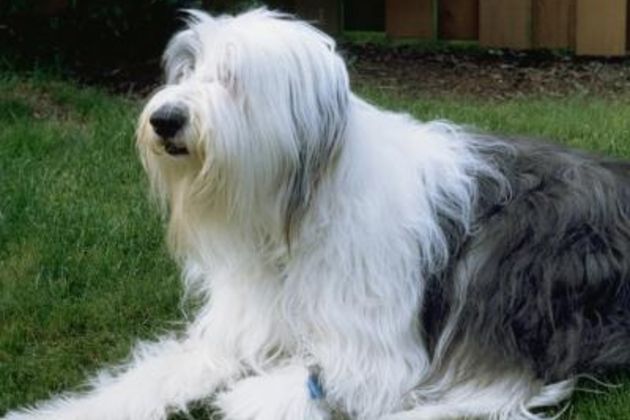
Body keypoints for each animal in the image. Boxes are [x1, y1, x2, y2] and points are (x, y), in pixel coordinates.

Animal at [7, 7, 630, 420]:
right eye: (184, 72)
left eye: (234, 79)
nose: (165, 119)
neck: (294, 212)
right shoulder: (237, 330)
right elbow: (163, 371)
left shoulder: (379, 353)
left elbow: (304, 384)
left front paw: (248, 395)